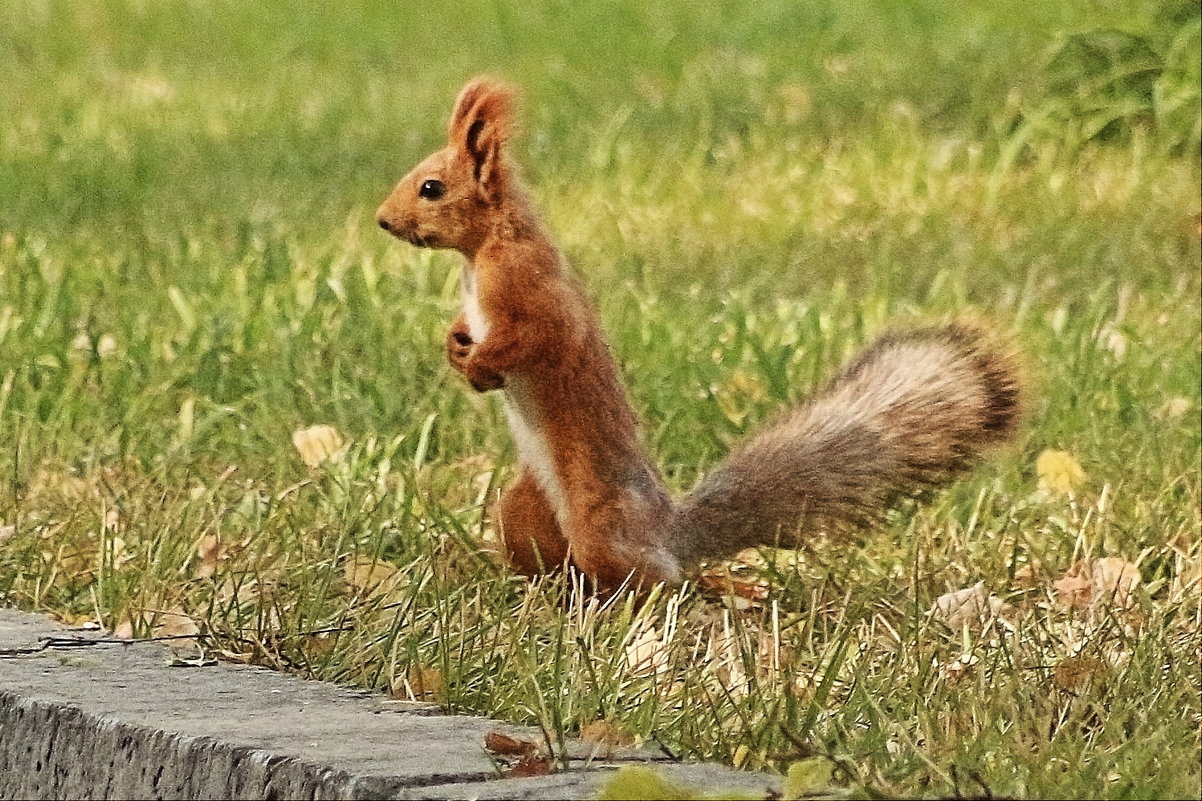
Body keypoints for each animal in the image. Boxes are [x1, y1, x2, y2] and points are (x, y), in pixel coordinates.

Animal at [377, 78, 1024, 589]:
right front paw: (457, 349)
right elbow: (470, 332)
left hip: (601, 521)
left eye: (432, 188)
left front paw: (481, 365)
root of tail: (669, 534)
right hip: (524, 508)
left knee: (653, 580)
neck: (481, 252)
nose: (383, 221)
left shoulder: (530, 286)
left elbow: (537, 336)